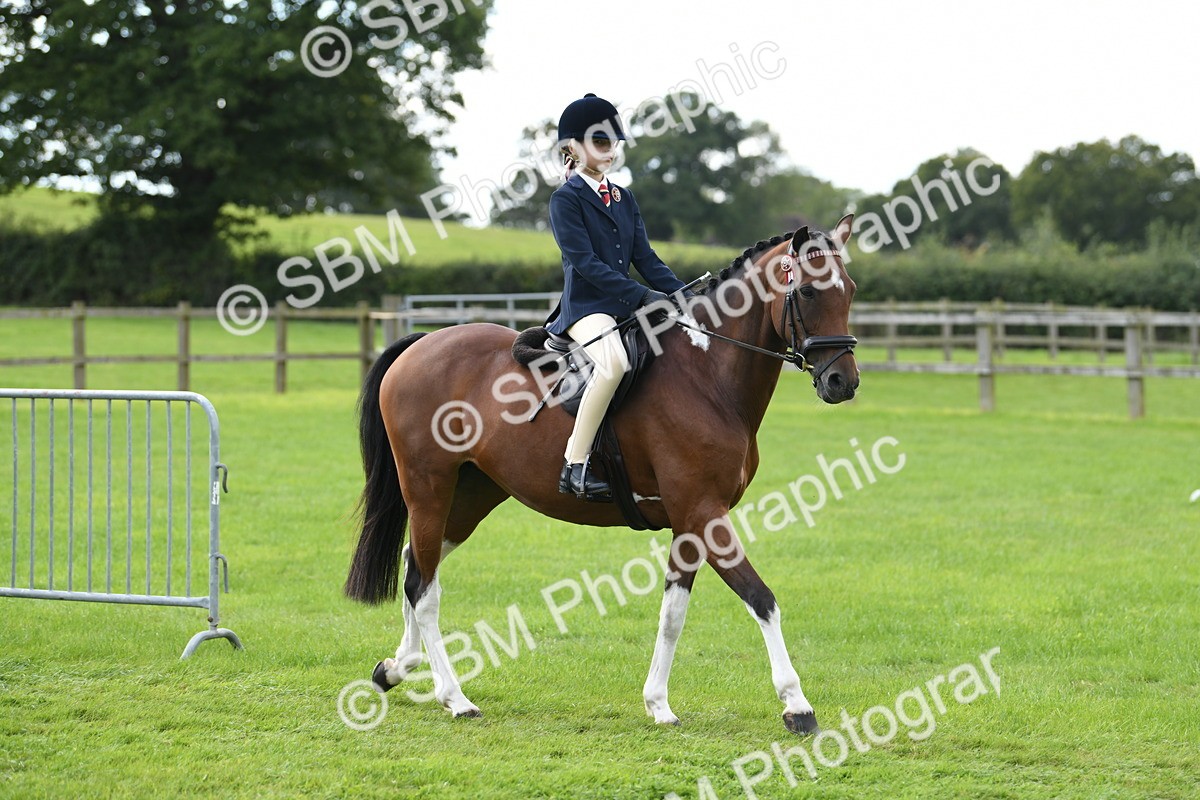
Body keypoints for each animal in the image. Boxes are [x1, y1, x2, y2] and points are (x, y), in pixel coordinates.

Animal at [345, 214, 860, 734]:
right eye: (809, 292)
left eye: (851, 290)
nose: (844, 383)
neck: (707, 373)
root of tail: (421, 344)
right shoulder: (704, 513)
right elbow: (761, 598)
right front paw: (797, 705)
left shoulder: (688, 522)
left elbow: (672, 613)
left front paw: (658, 704)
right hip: (428, 487)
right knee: (423, 587)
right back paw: (455, 697)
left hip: (472, 494)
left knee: (417, 564)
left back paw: (397, 668)